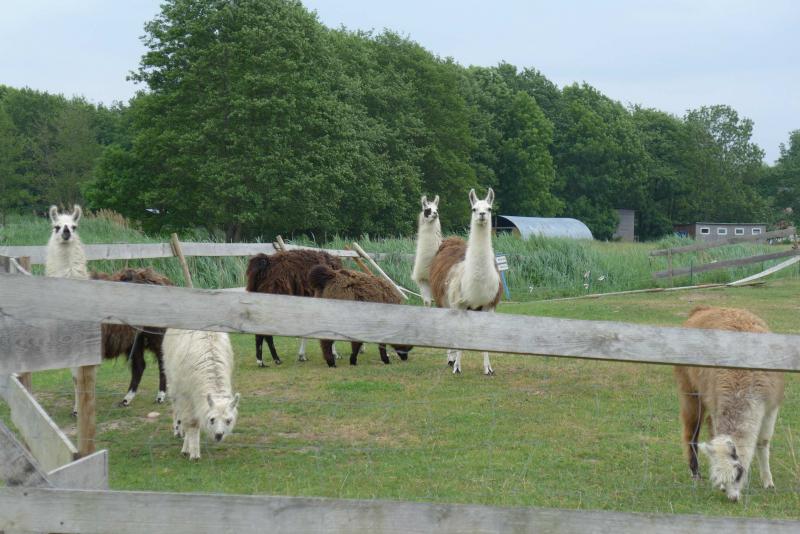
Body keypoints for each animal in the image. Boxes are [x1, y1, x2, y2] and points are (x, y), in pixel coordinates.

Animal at [90, 268, 173, 406]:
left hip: (156, 334)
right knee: (140, 365)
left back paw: (160, 396)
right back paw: (126, 399)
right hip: (135, 339)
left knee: (162, 361)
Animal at [163, 329, 240, 460]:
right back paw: (178, 430)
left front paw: (189, 449)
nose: (219, 435)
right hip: (172, 378)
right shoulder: (186, 395)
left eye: (229, 420)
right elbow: (192, 423)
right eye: (212, 419)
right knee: (177, 410)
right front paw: (192, 453)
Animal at [675, 305, 785, 502]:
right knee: (691, 430)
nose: (732, 498)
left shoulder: (771, 405)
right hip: (689, 386)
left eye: (739, 473)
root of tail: (702, 309)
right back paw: (695, 473)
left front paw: (768, 483)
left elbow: (763, 442)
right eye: (720, 479)